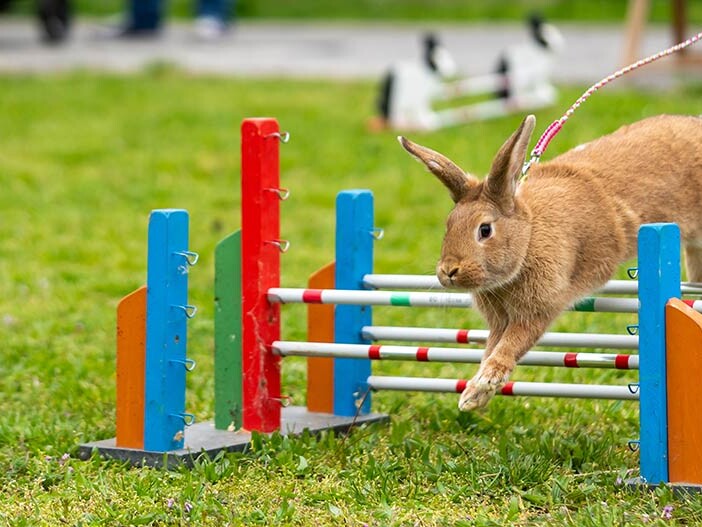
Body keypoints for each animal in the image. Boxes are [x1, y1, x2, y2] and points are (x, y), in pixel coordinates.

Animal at [399, 114, 702, 411]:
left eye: (484, 230)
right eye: (448, 225)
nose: (448, 271)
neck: (529, 237)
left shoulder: (537, 309)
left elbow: (509, 347)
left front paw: (480, 387)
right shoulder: (500, 321)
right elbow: (492, 347)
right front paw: (475, 395)